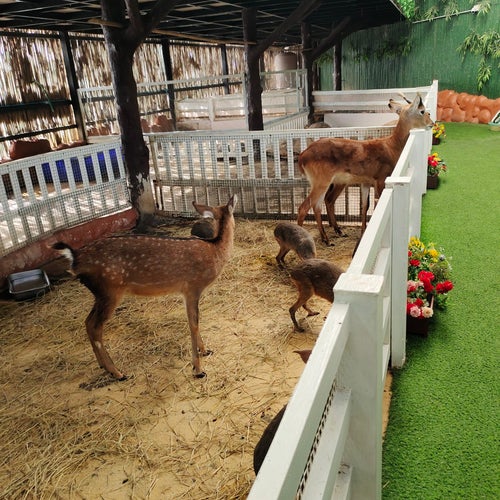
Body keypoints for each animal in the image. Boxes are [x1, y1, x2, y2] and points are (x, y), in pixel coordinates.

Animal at [52, 195, 237, 381]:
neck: (214, 250)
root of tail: (74, 259)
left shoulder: (185, 292)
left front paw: (205, 350)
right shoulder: (192, 287)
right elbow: (194, 323)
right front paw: (198, 369)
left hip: (100, 294)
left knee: (88, 322)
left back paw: (103, 366)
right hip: (110, 290)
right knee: (95, 327)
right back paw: (118, 372)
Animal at [297, 94, 434, 245]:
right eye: (422, 111)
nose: (432, 123)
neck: (391, 146)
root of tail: (303, 155)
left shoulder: (366, 182)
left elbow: (364, 207)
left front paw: (363, 232)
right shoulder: (380, 180)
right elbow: (374, 206)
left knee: (319, 205)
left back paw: (330, 237)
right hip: (322, 183)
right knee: (304, 207)